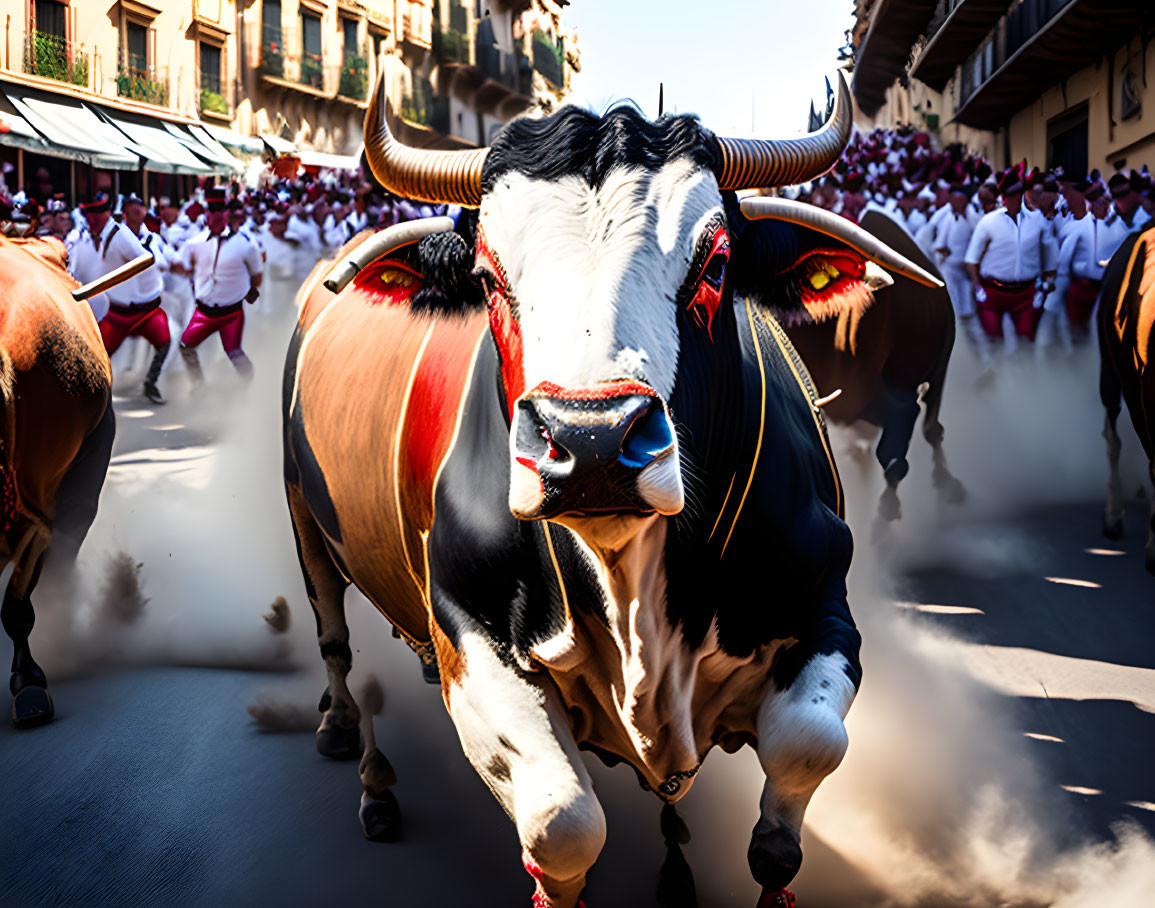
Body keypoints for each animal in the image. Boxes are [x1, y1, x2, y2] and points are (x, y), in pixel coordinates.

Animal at [284, 74, 942, 901]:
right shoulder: (468, 631)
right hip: (305, 518)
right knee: (332, 634)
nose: (592, 442)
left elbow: (806, 748)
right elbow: (562, 825)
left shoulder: (823, 598)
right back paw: (349, 741)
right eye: (487, 276)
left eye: (714, 264)